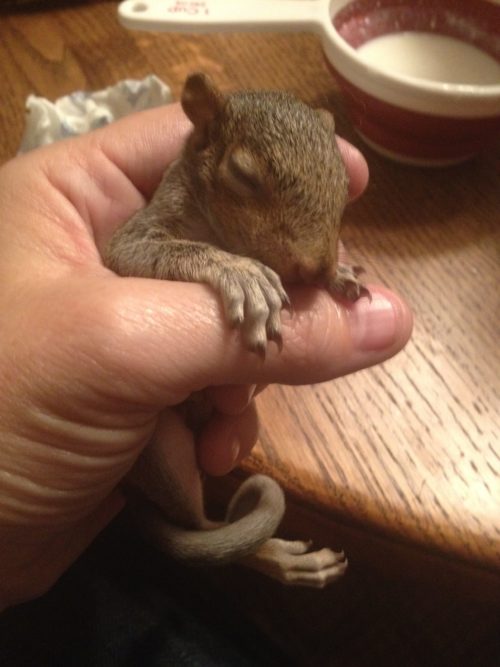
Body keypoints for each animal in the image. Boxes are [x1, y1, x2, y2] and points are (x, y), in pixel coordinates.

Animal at [103, 73, 367, 587]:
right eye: (243, 174)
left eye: (346, 182)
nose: (314, 268)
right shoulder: (134, 237)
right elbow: (149, 252)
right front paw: (241, 273)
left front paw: (341, 277)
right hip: (160, 455)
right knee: (204, 527)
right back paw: (284, 559)